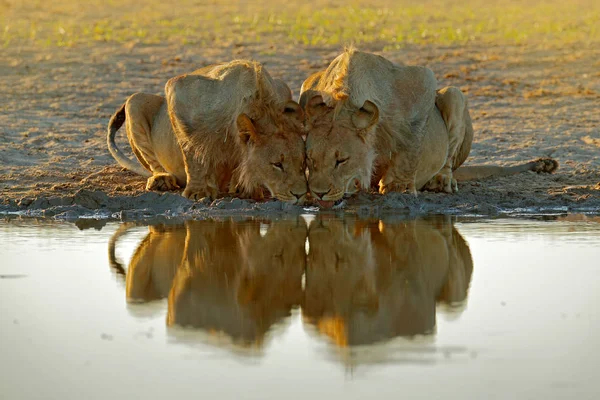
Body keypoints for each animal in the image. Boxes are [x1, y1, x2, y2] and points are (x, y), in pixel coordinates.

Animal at [106, 61, 310, 205]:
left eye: (303, 163)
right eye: (277, 164)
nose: (301, 195)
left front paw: (245, 187)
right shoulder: (179, 91)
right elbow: (192, 153)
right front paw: (197, 192)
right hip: (135, 101)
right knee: (154, 163)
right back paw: (161, 179)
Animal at [300, 48, 556, 206]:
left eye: (341, 160)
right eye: (309, 159)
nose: (318, 192)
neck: (343, 97)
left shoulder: (421, 81)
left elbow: (410, 147)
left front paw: (399, 187)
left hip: (453, 94)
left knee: (449, 158)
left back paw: (442, 181)